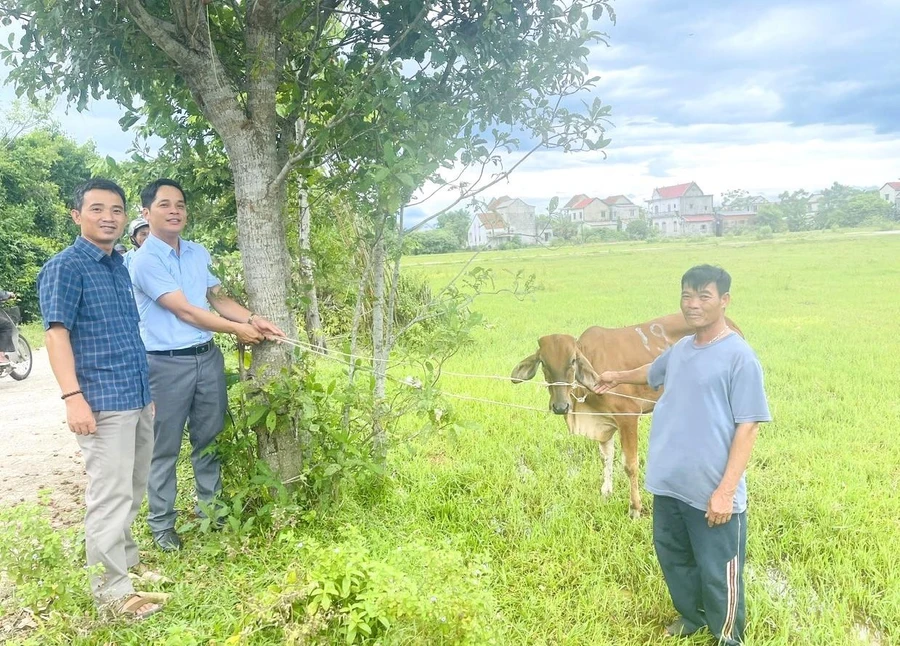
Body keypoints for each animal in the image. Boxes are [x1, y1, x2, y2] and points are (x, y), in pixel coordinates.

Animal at [510, 314, 740, 520]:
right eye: (543, 362)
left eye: (573, 361)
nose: (560, 406)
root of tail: (731, 325)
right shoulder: (605, 423)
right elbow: (606, 458)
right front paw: (606, 493)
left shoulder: (628, 416)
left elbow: (630, 465)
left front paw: (635, 509)